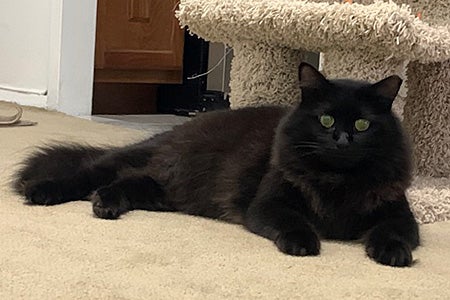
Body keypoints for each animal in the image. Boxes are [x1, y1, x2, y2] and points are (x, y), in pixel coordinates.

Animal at [13, 63, 418, 268]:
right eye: (326, 120)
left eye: (362, 124)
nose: (341, 140)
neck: (335, 182)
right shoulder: (269, 205)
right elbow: (295, 222)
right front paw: (303, 244)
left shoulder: (398, 214)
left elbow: (393, 233)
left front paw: (394, 254)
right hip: (138, 164)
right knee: (90, 172)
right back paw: (42, 191)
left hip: (161, 190)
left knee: (122, 184)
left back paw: (106, 204)